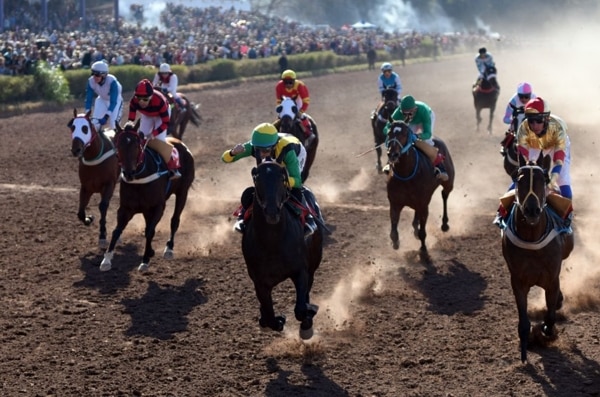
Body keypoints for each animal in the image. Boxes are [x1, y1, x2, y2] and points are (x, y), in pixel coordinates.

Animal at [68, 108, 119, 248]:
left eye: (85, 128)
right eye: (73, 127)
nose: (76, 150)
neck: (95, 156)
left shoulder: (109, 184)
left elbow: (103, 206)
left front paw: (102, 236)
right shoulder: (86, 187)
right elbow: (80, 212)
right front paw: (88, 218)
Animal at [100, 119, 195, 270]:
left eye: (136, 145)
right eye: (118, 145)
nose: (128, 173)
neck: (141, 175)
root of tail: (181, 144)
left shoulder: (158, 207)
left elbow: (150, 231)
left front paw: (144, 260)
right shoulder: (126, 208)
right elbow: (117, 230)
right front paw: (106, 259)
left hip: (183, 192)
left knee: (174, 220)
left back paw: (169, 249)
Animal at [241, 160, 324, 338]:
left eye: (282, 178)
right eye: (258, 179)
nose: (272, 212)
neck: (273, 243)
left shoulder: (301, 271)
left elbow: (301, 308)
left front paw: (308, 318)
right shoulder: (260, 282)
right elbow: (270, 315)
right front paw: (276, 320)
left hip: (314, 263)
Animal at [386, 119, 452, 254]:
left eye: (404, 134)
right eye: (389, 133)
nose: (392, 154)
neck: (406, 174)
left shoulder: (424, 205)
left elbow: (423, 232)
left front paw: (423, 249)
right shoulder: (395, 203)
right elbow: (393, 231)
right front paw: (395, 242)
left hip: (449, 182)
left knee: (445, 195)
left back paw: (444, 224)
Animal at [502, 152, 576, 362]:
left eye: (543, 179)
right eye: (519, 180)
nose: (532, 210)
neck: (532, 238)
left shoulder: (551, 278)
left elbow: (550, 316)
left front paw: (545, 330)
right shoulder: (518, 280)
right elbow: (524, 322)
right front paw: (525, 352)